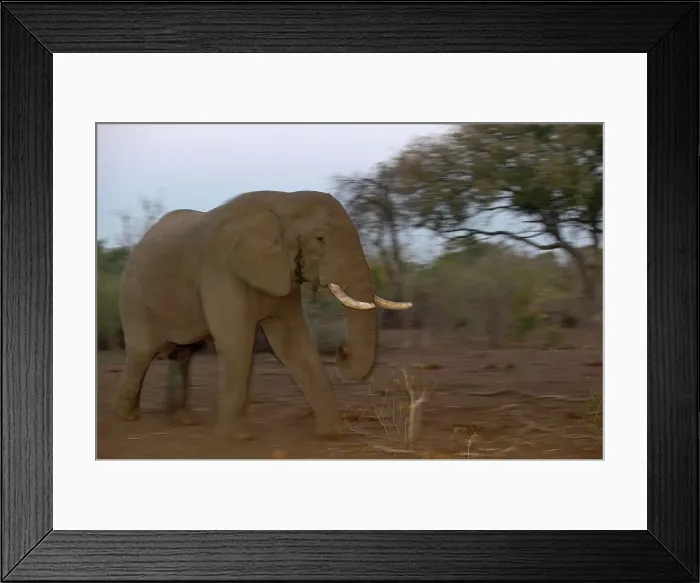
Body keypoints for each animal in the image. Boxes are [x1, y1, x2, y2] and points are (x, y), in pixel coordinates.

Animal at [114, 189, 412, 439]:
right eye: (320, 239)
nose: (342, 351)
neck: (283, 201)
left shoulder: (283, 273)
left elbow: (293, 343)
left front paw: (333, 434)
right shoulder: (220, 271)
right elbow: (236, 342)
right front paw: (235, 437)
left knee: (183, 354)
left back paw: (182, 421)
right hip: (133, 296)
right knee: (142, 352)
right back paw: (128, 419)